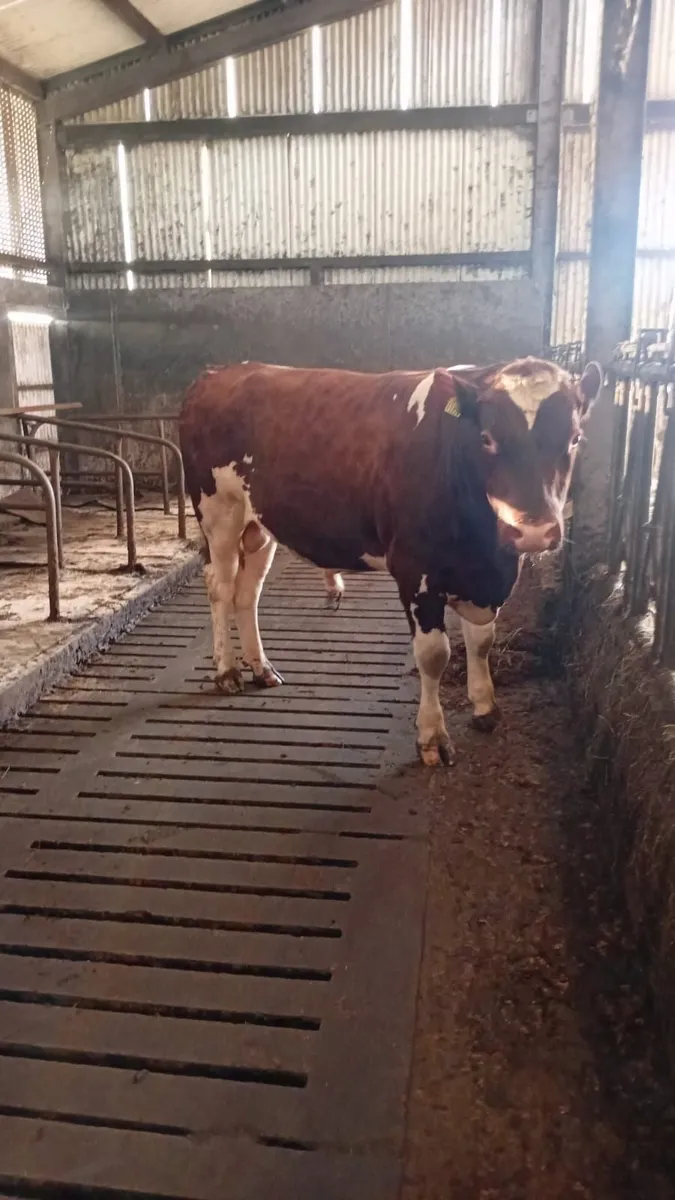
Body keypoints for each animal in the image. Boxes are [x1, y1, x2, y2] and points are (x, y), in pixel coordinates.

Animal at [179, 358, 601, 767]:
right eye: (487, 438)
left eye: (575, 438)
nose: (533, 531)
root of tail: (219, 372)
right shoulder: (415, 570)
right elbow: (434, 655)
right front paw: (432, 738)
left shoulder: (482, 577)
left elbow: (482, 642)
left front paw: (485, 708)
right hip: (218, 512)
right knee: (220, 589)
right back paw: (227, 671)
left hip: (260, 526)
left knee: (247, 594)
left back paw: (261, 668)